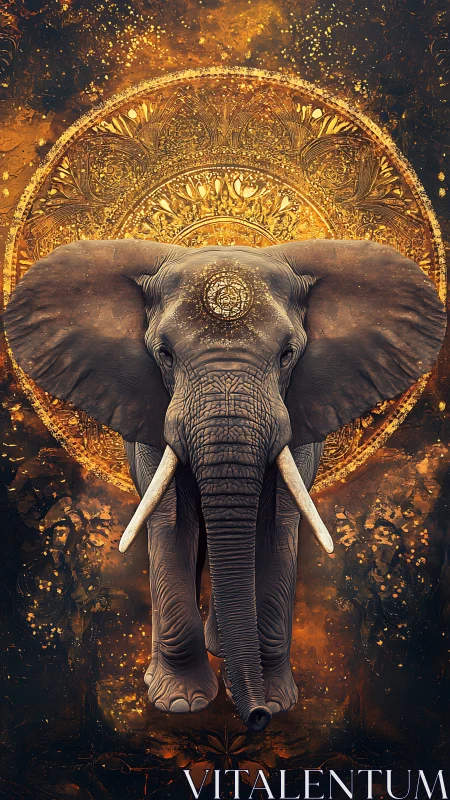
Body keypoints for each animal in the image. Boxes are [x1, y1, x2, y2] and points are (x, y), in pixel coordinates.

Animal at [4, 238, 446, 732]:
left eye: (287, 354)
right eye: (165, 354)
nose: (254, 719)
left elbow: (276, 527)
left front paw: (275, 702)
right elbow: (172, 525)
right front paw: (181, 703)